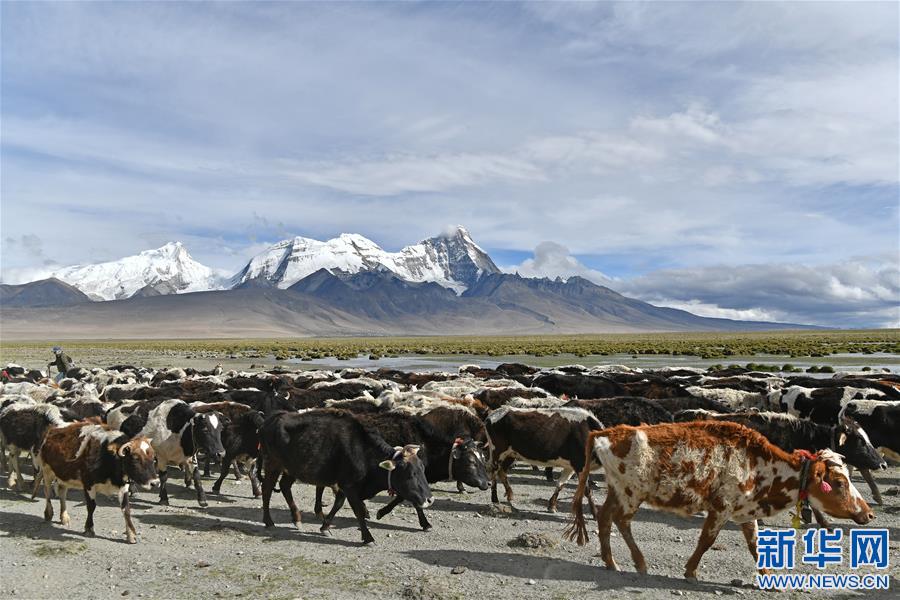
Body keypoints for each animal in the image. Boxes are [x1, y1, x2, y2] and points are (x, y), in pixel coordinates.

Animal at [258, 408, 434, 544]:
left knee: (284, 486)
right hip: (273, 464)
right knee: (267, 489)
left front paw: (325, 527)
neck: (362, 451)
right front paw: (368, 537)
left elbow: (338, 504)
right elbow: (358, 510)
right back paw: (269, 521)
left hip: (293, 469)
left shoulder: (344, 485)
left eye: (422, 469)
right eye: (410, 474)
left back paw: (296, 519)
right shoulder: (349, 486)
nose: (430, 499)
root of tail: (272, 418)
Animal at [568, 422, 872, 580]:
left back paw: (611, 562)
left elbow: (754, 544)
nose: (868, 514)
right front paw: (691, 571)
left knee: (605, 519)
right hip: (631, 493)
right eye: (840, 482)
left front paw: (768, 577)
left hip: (617, 490)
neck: (761, 465)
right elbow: (707, 540)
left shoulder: (746, 513)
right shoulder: (721, 508)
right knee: (621, 521)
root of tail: (606, 433)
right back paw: (639, 563)